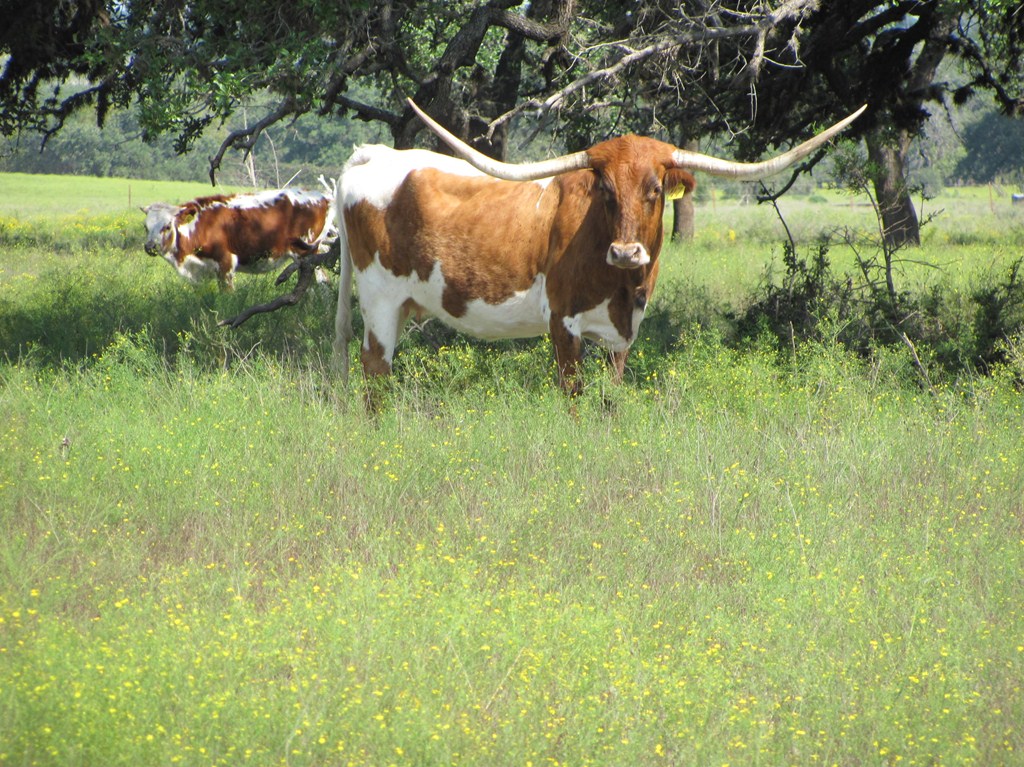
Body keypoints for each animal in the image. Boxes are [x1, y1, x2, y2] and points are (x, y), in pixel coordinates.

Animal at [142, 189, 337, 290]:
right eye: (146, 226)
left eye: (167, 226)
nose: (150, 246)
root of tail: (321, 196)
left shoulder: (225, 263)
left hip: (306, 253)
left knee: (316, 285)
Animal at [333, 99, 865, 395]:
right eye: (605, 190)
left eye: (655, 188)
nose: (627, 253)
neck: (622, 286)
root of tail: (376, 154)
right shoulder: (562, 325)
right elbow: (575, 397)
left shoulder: (622, 335)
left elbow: (609, 399)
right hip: (378, 300)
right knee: (374, 371)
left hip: (403, 303)